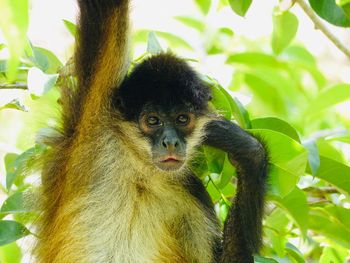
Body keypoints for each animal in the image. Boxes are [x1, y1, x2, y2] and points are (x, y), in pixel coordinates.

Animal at [34, 0, 266, 263]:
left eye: (182, 119)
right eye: (153, 121)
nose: (171, 142)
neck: (140, 172)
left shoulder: (190, 189)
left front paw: (246, 151)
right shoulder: (94, 124)